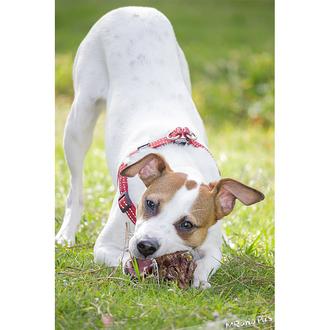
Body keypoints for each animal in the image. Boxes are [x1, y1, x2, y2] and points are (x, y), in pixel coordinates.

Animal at [55, 6, 264, 288]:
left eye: (187, 225)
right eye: (151, 203)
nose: (146, 245)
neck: (183, 158)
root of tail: (137, 9)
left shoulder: (210, 245)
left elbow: (208, 261)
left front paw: (199, 279)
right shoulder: (105, 246)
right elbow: (123, 257)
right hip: (80, 120)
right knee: (75, 186)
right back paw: (67, 233)